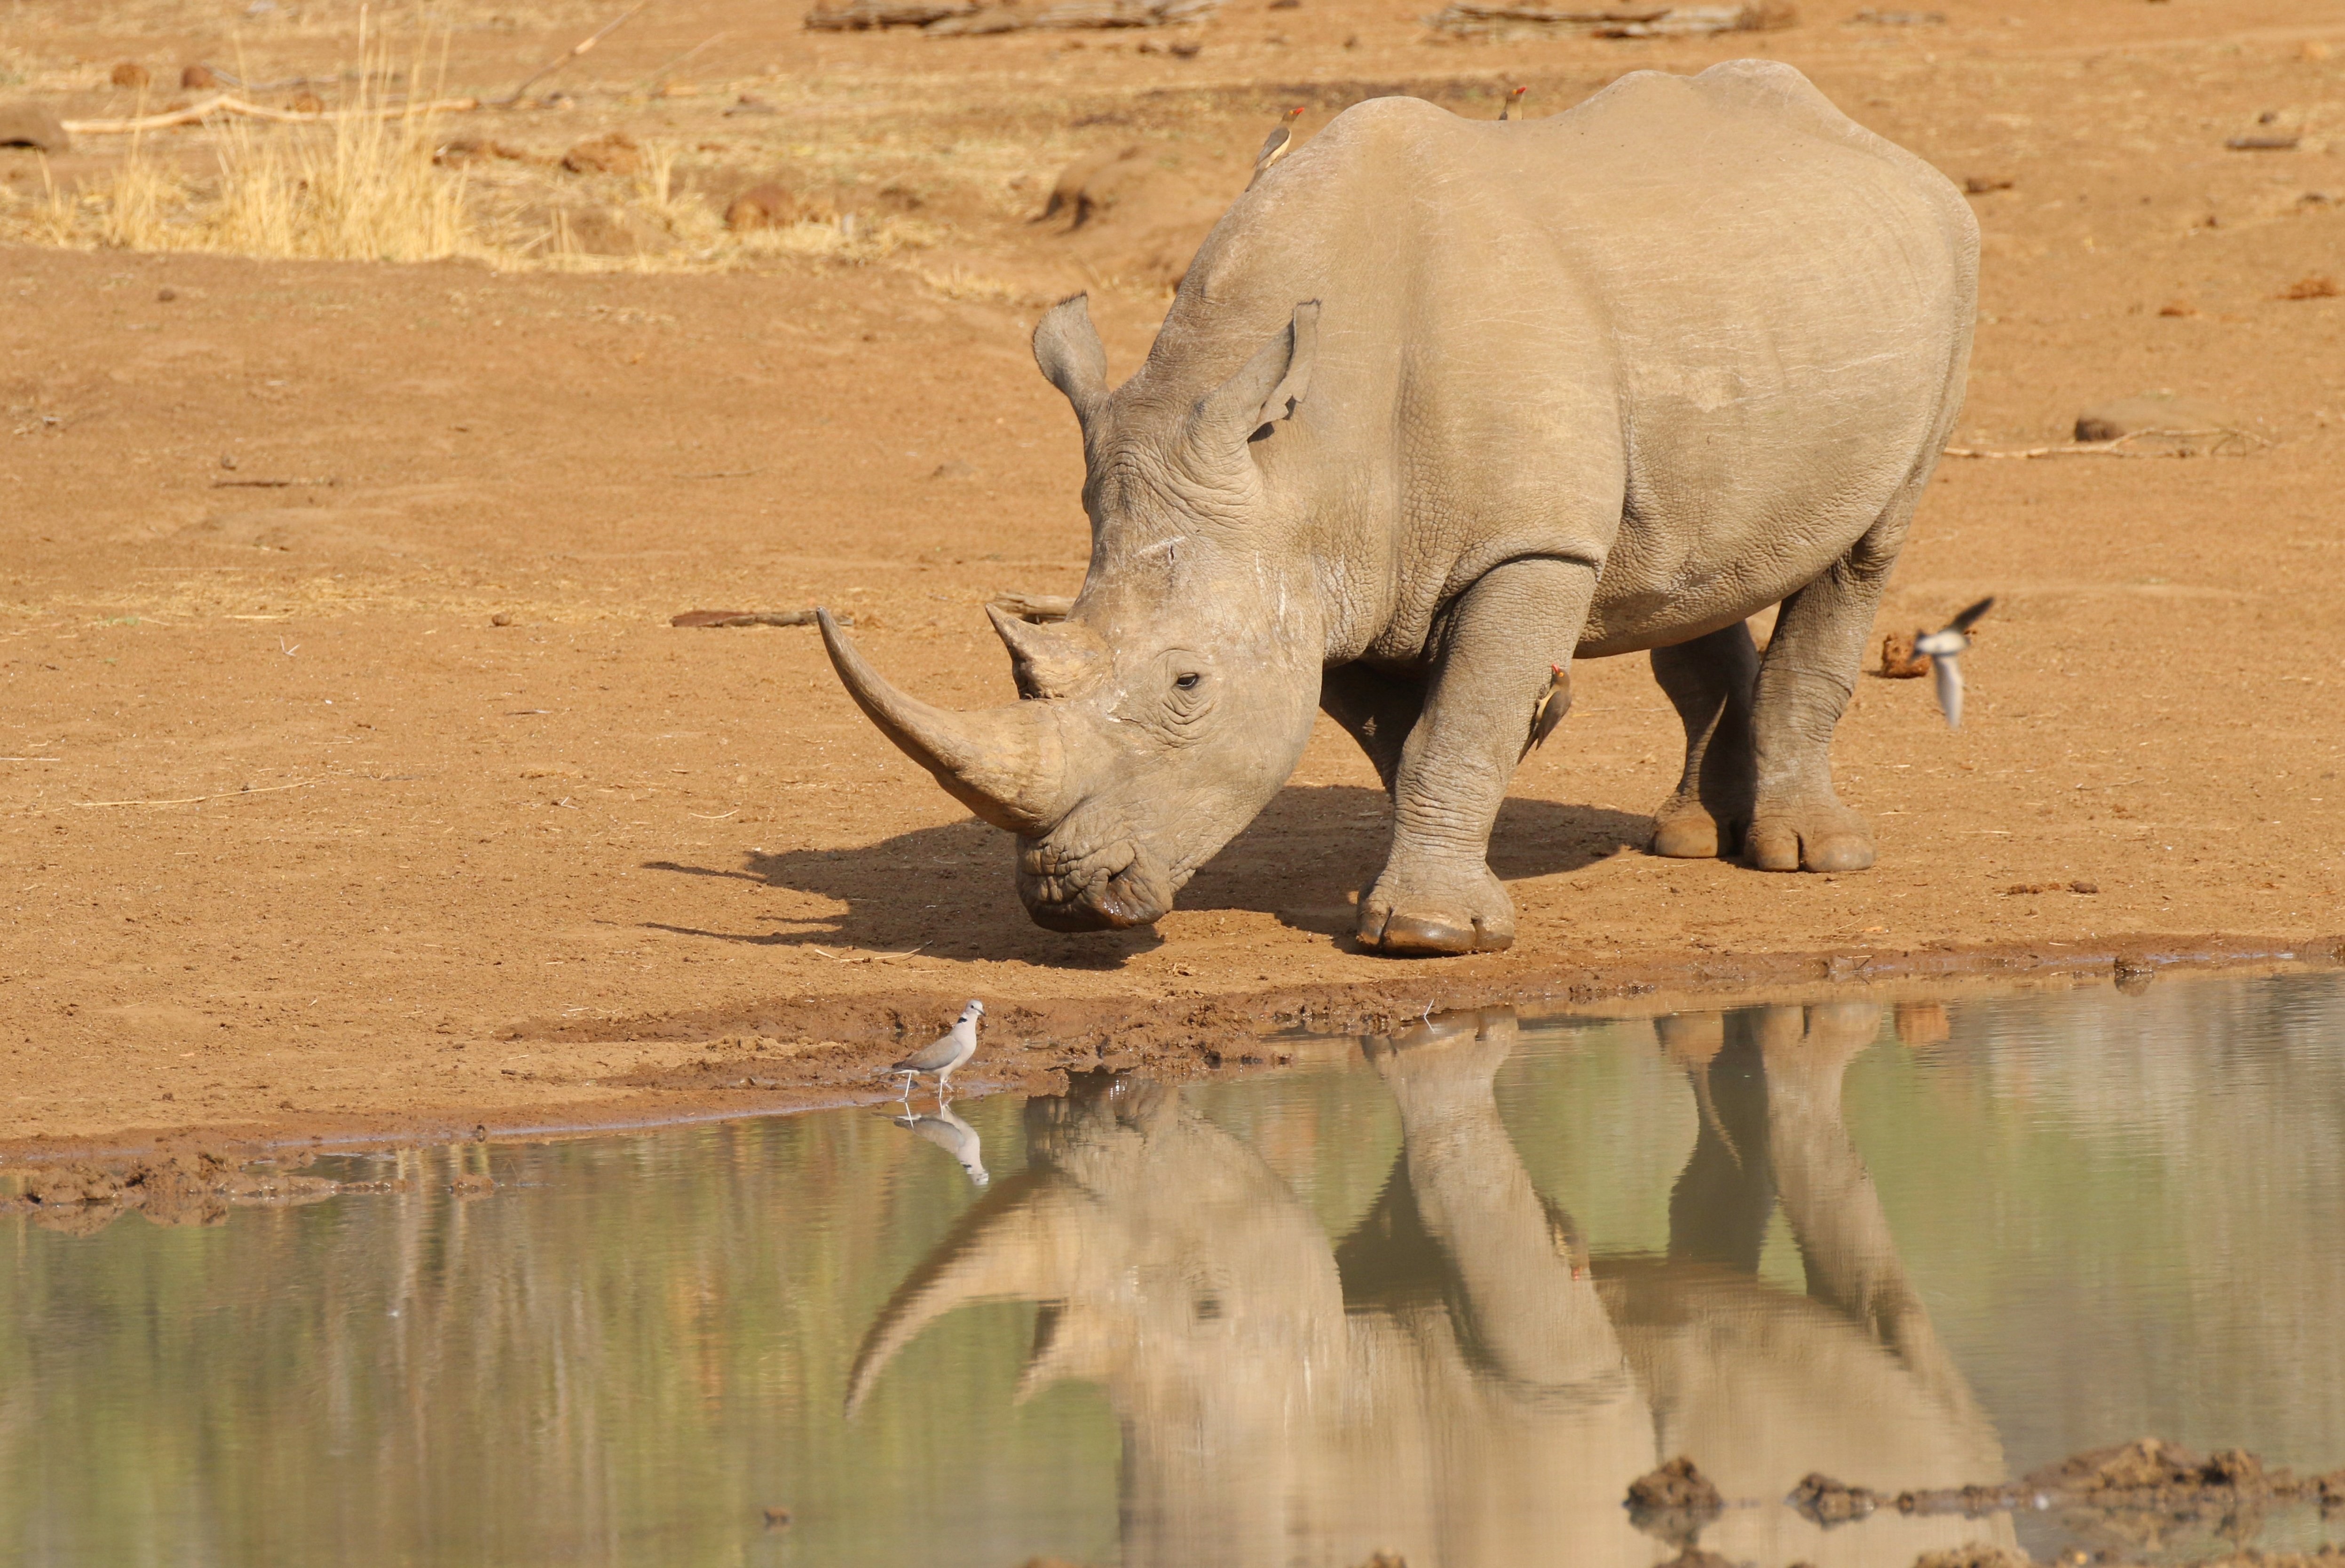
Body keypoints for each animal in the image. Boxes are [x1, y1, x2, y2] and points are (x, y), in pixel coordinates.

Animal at [818, 60, 1978, 953]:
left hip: (1950, 270)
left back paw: (1811, 858)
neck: (1295, 459)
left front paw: (1425, 935)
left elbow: (1456, 721)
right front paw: (1448, 873)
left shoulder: (1526, 549)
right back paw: (1691, 839)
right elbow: (1406, 732)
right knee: (1696, 562)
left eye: (1189, 685)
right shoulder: (1329, 575)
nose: (1065, 898)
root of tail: (1872, 140)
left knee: (1865, 550)